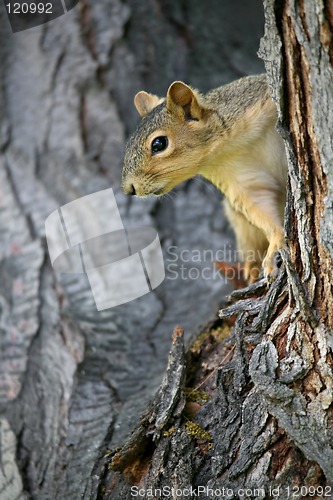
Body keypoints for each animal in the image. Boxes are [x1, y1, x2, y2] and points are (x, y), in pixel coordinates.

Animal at [120, 75, 286, 284]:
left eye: (159, 144)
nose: (129, 189)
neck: (229, 146)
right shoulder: (239, 179)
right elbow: (262, 207)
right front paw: (275, 246)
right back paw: (252, 268)